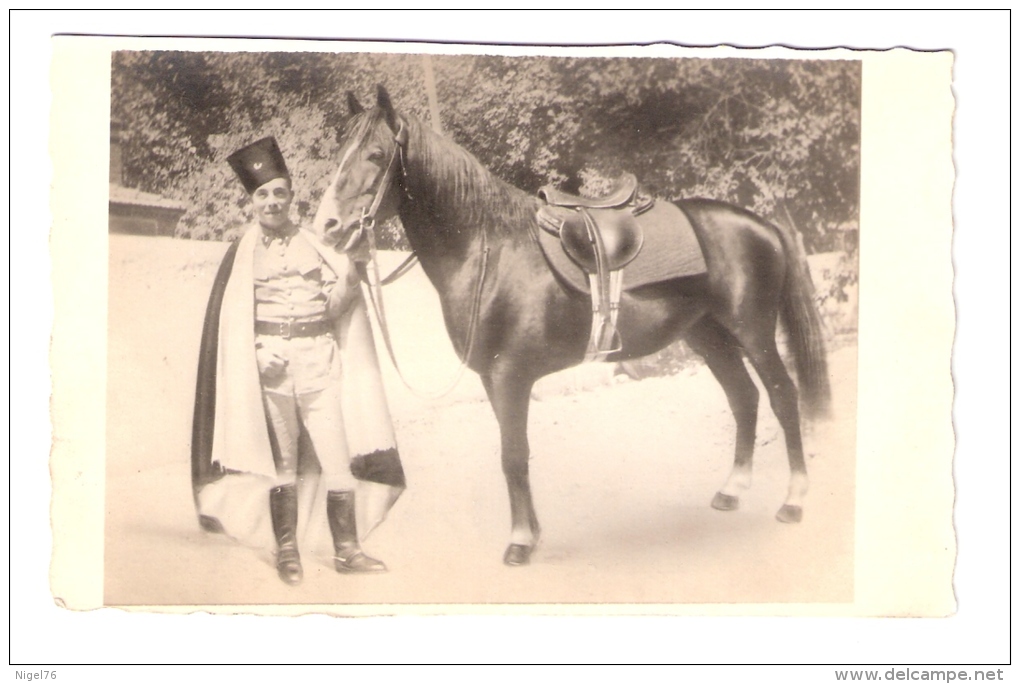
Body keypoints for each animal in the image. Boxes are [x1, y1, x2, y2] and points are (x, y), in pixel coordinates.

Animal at [312, 85, 828, 566]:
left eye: (376, 155)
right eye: (339, 155)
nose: (328, 226)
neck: (489, 251)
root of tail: (761, 224)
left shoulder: (510, 376)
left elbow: (513, 456)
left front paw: (520, 542)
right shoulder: (493, 380)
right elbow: (514, 454)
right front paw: (532, 533)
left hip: (753, 333)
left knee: (783, 398)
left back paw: (794, 501)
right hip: (709, 337)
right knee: (744, 398)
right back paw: (732, 490)